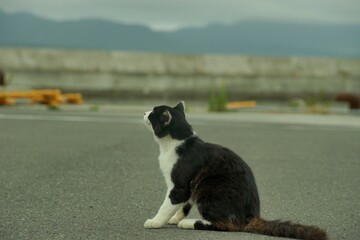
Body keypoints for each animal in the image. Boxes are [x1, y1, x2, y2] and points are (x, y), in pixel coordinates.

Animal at [143, 101, 326, 240]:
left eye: (152, 113)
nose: (144, 112)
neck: (178, 143)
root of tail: (251, 216)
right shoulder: (190, 186)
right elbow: (184, 204)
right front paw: (174, 217)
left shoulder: (179, 186)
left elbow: (167, 205)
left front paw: (155, 221)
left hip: (209, 191)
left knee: (226, 225)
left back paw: (189, 223)